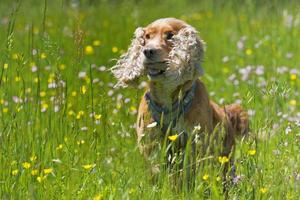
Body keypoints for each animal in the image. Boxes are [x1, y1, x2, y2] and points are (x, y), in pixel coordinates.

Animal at [112, 18, 248, 188]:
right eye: (147, 37)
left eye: (170, 36)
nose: (147, 51)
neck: (167, 97)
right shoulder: (151, 145)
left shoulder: (196, 143)